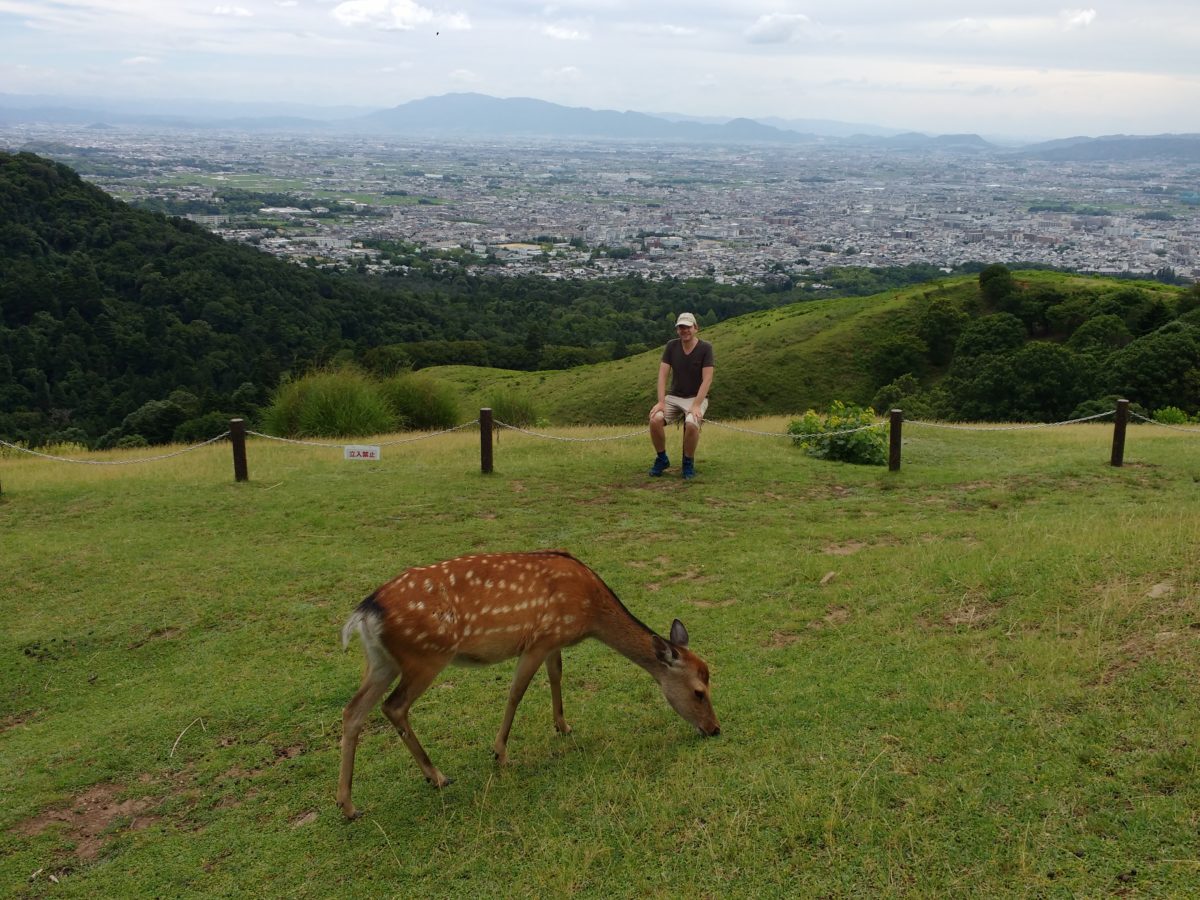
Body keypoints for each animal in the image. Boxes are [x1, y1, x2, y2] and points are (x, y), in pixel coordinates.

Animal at [333, 549, 715, 816]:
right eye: (699, 692)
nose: (714, 729)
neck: (590, 613)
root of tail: (365, 613)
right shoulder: (538, 640)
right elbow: (517, 691)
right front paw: (500, 753)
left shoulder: (553, 641)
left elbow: (557, 675)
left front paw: (563, 726)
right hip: (426, 657)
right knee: (394, 706)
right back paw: (437, 776)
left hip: (380, 662)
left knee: (353, 710)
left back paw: (348, 805)